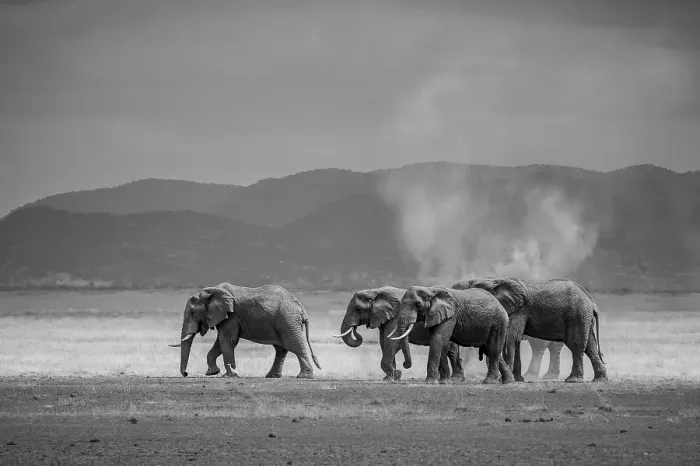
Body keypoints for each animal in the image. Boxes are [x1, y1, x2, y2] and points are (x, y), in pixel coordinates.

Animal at [169, 283, 322, 378]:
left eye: (193, 313)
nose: (186, 374)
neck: (210, 291)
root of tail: (301, 308)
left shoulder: (231, 315)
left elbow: (226, 340)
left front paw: (229, 375)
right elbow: (222, 342)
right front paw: (213, 373)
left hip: (287, 321)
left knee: (293, 345)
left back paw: (304, 376)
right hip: (285, 322)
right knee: (281, 349)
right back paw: (271, 376)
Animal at [333, 286, 467, 382]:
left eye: (358, 309)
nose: (356, 330)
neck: (375, 292)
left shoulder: (394, 317)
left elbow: (391, 342)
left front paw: (395, 375)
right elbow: (384, 342)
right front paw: (391, 377)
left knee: (450, 350)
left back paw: (454, 379)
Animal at [468, 277, 607, 383]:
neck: (495, 281)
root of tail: (592, 302)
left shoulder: (520, 310)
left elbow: (511, 338)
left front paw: (507, 380)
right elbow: (515, 340)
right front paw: (518, 380)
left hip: (577, 314)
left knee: (576, 344)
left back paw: (573, 380)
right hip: (583, 317)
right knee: (590, 346)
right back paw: (600, 380)